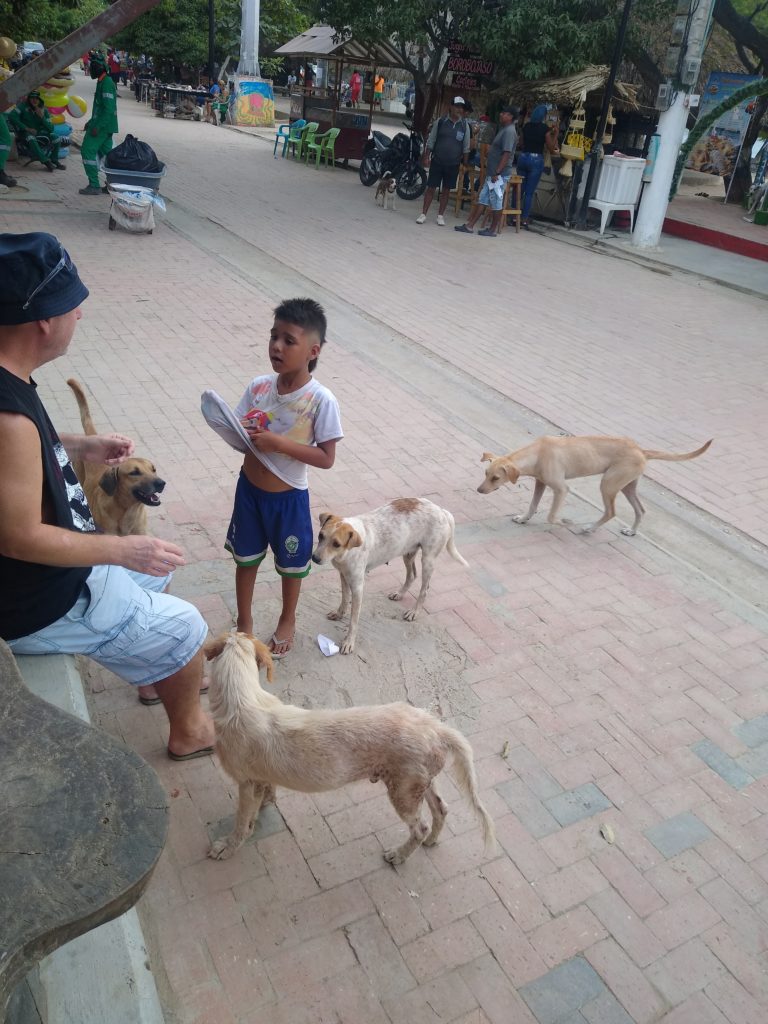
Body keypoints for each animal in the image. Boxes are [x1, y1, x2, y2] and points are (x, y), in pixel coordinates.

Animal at [204, 630, 495, 864]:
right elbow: (267, 793)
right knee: (442, 808)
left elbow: (242, 821)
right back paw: (432, 840)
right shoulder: (260, 778)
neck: (240, 698)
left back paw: (399, 855)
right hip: (420, 781)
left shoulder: (246, 782)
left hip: (403, 790)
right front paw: (267, 804)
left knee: (419, 827)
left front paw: (227, 847)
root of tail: (435, 726)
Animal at [311, 497, 468, 655]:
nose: (314, 558)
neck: (344, 554)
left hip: (428, 560)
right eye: (320, 535)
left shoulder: (357, 586)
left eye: (336, 544)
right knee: (412, 575)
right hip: (408, 553)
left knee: (424, 589)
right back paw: (399, 594)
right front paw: (339, 614)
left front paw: (349, 642)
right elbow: (344, 599)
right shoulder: (343, 575)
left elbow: (353, 621)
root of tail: (441, 510)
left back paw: (414, 612)